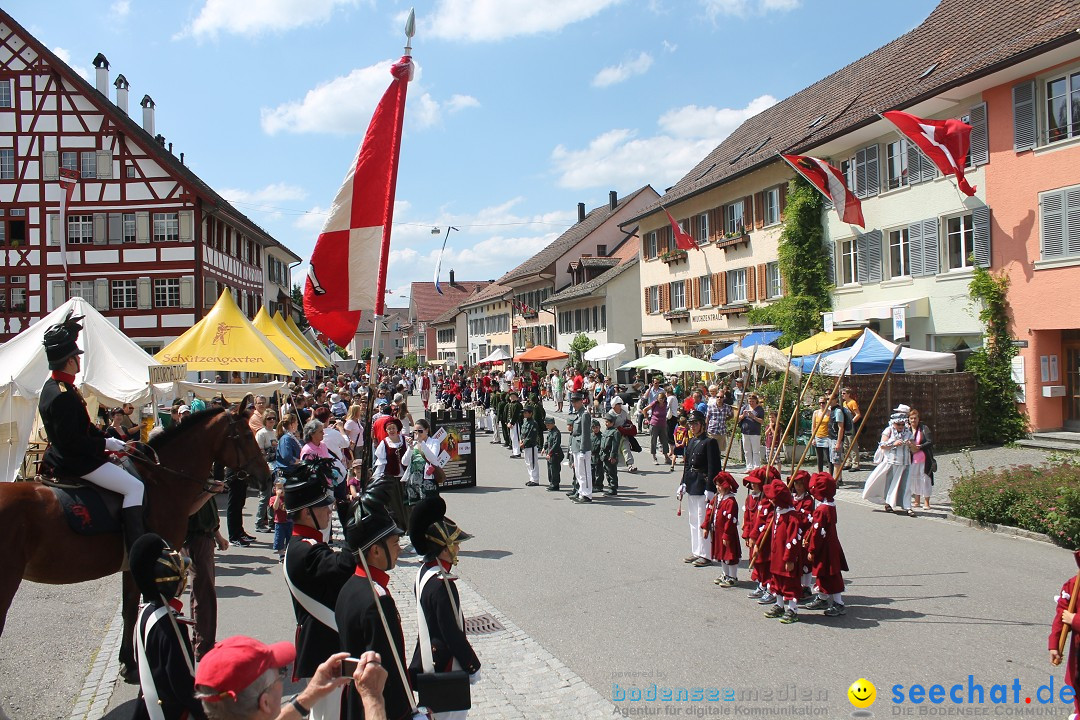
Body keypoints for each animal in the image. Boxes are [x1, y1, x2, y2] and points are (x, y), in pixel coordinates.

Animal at [0, 397, 270, 686]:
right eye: (246, 435)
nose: (267, 477)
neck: (162, 480)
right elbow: (144, 605)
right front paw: (133, 664)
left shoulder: (131, 565)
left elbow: (129, 608)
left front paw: (126, 661)